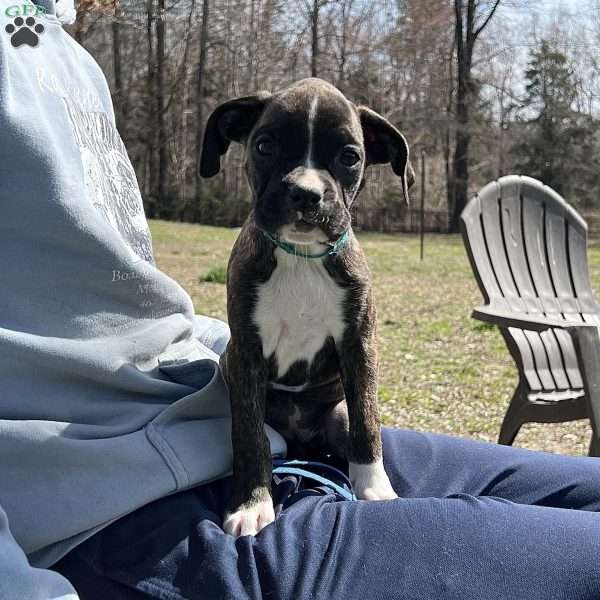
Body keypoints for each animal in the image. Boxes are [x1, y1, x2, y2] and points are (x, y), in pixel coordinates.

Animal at [199, 77, 414, 536]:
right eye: (264, 146)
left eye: (350, 157)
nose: (306, 194)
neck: (300, 255)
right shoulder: (246, 352)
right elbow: (249, 436)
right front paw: (252, 502)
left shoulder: (358, 345)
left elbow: (367, 422)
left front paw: (375, 489)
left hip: (336, 416)